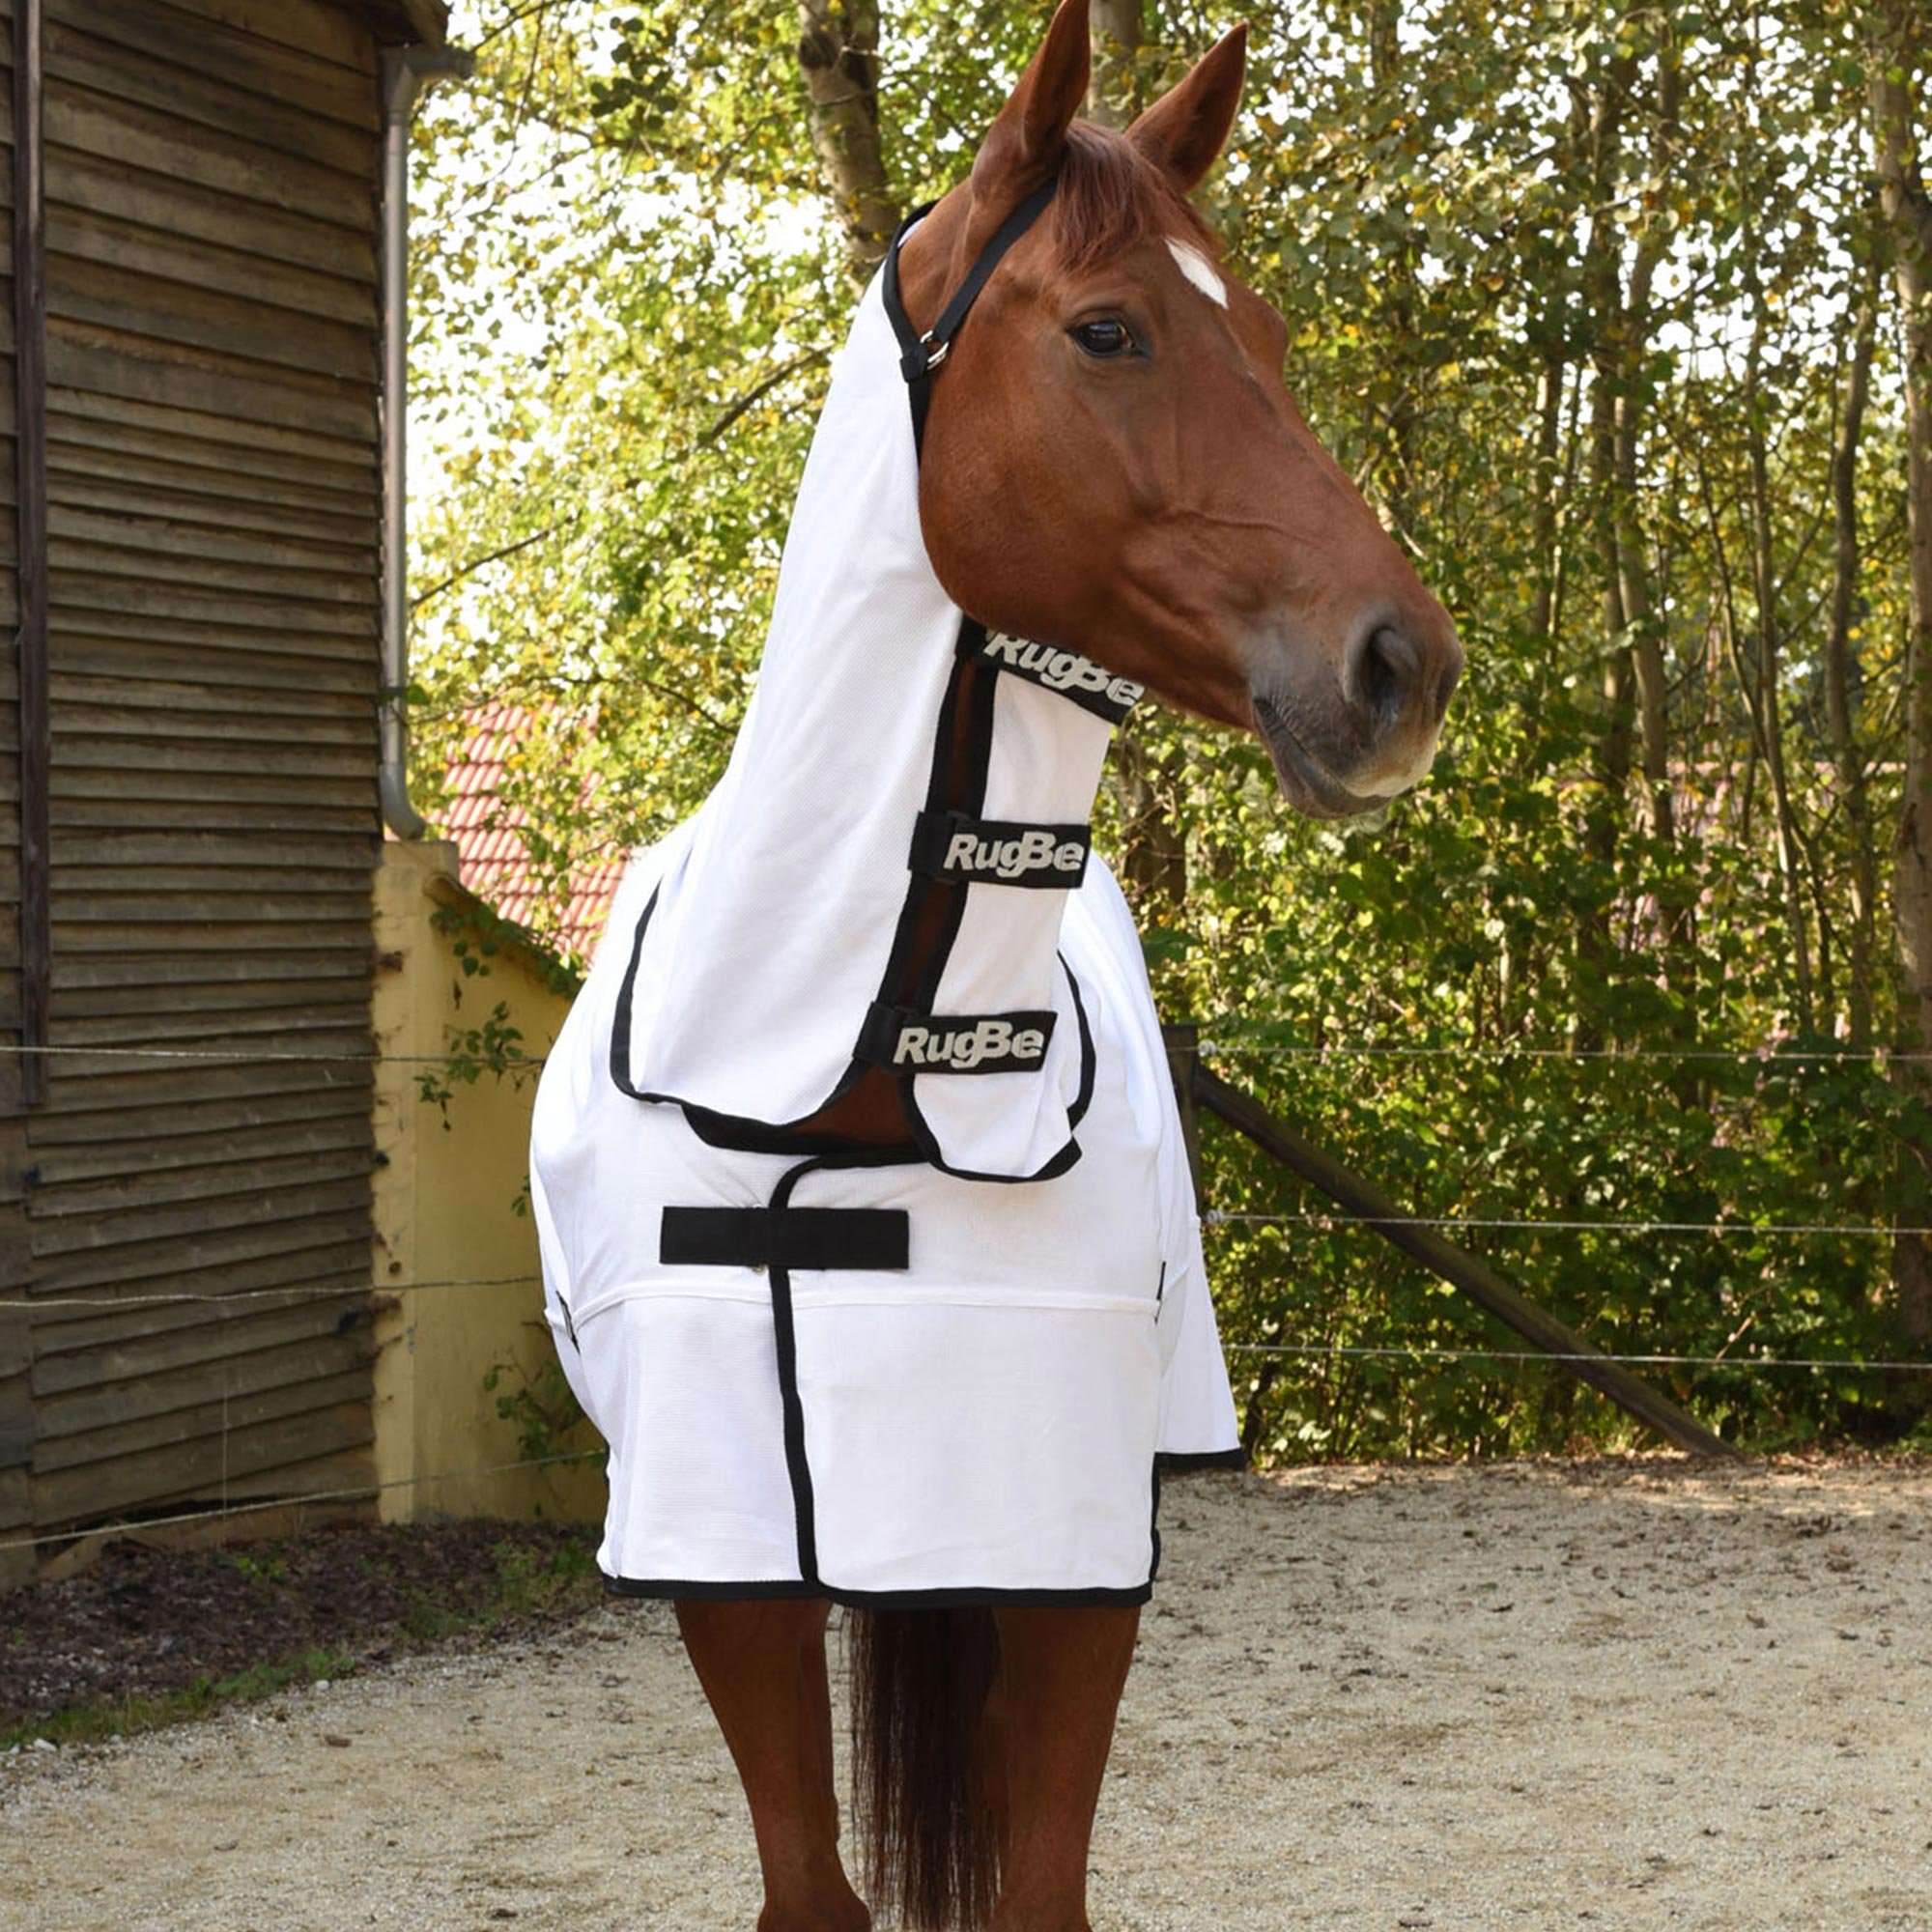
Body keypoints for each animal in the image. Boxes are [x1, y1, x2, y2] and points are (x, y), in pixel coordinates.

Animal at [528, 6, 1461, 1929]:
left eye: (1268, 335)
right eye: (1109, 328)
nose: (1404, 665)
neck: (845, 1086)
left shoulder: (1065, 1546)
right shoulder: (723, 1560)